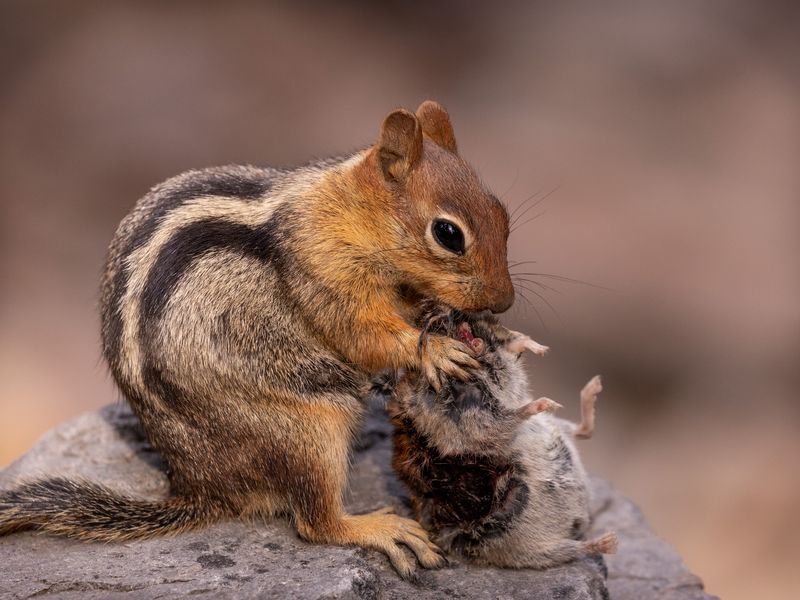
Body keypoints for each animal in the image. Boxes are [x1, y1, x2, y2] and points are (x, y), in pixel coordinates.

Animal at [0, 101, 515, 579]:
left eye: (502, 213)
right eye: (448, 234)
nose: (505, 301)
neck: (349, 214)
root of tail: (200, 486)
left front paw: (442, 318)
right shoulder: (323, 272)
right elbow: (362, 337)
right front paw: (436, 350)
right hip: (308, 431)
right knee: (315, 523)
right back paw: (378, 529)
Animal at [378, 307, 618, 568]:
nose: (455, 321)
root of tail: (578, 520)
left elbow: (510, 356)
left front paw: (536, 347)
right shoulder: (470, 427)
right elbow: (504, 420)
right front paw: (542, 402)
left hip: (557, 430)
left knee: (583, 430)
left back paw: (593, 386)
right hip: (526, 545)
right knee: (574, 548)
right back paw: (608, 541)